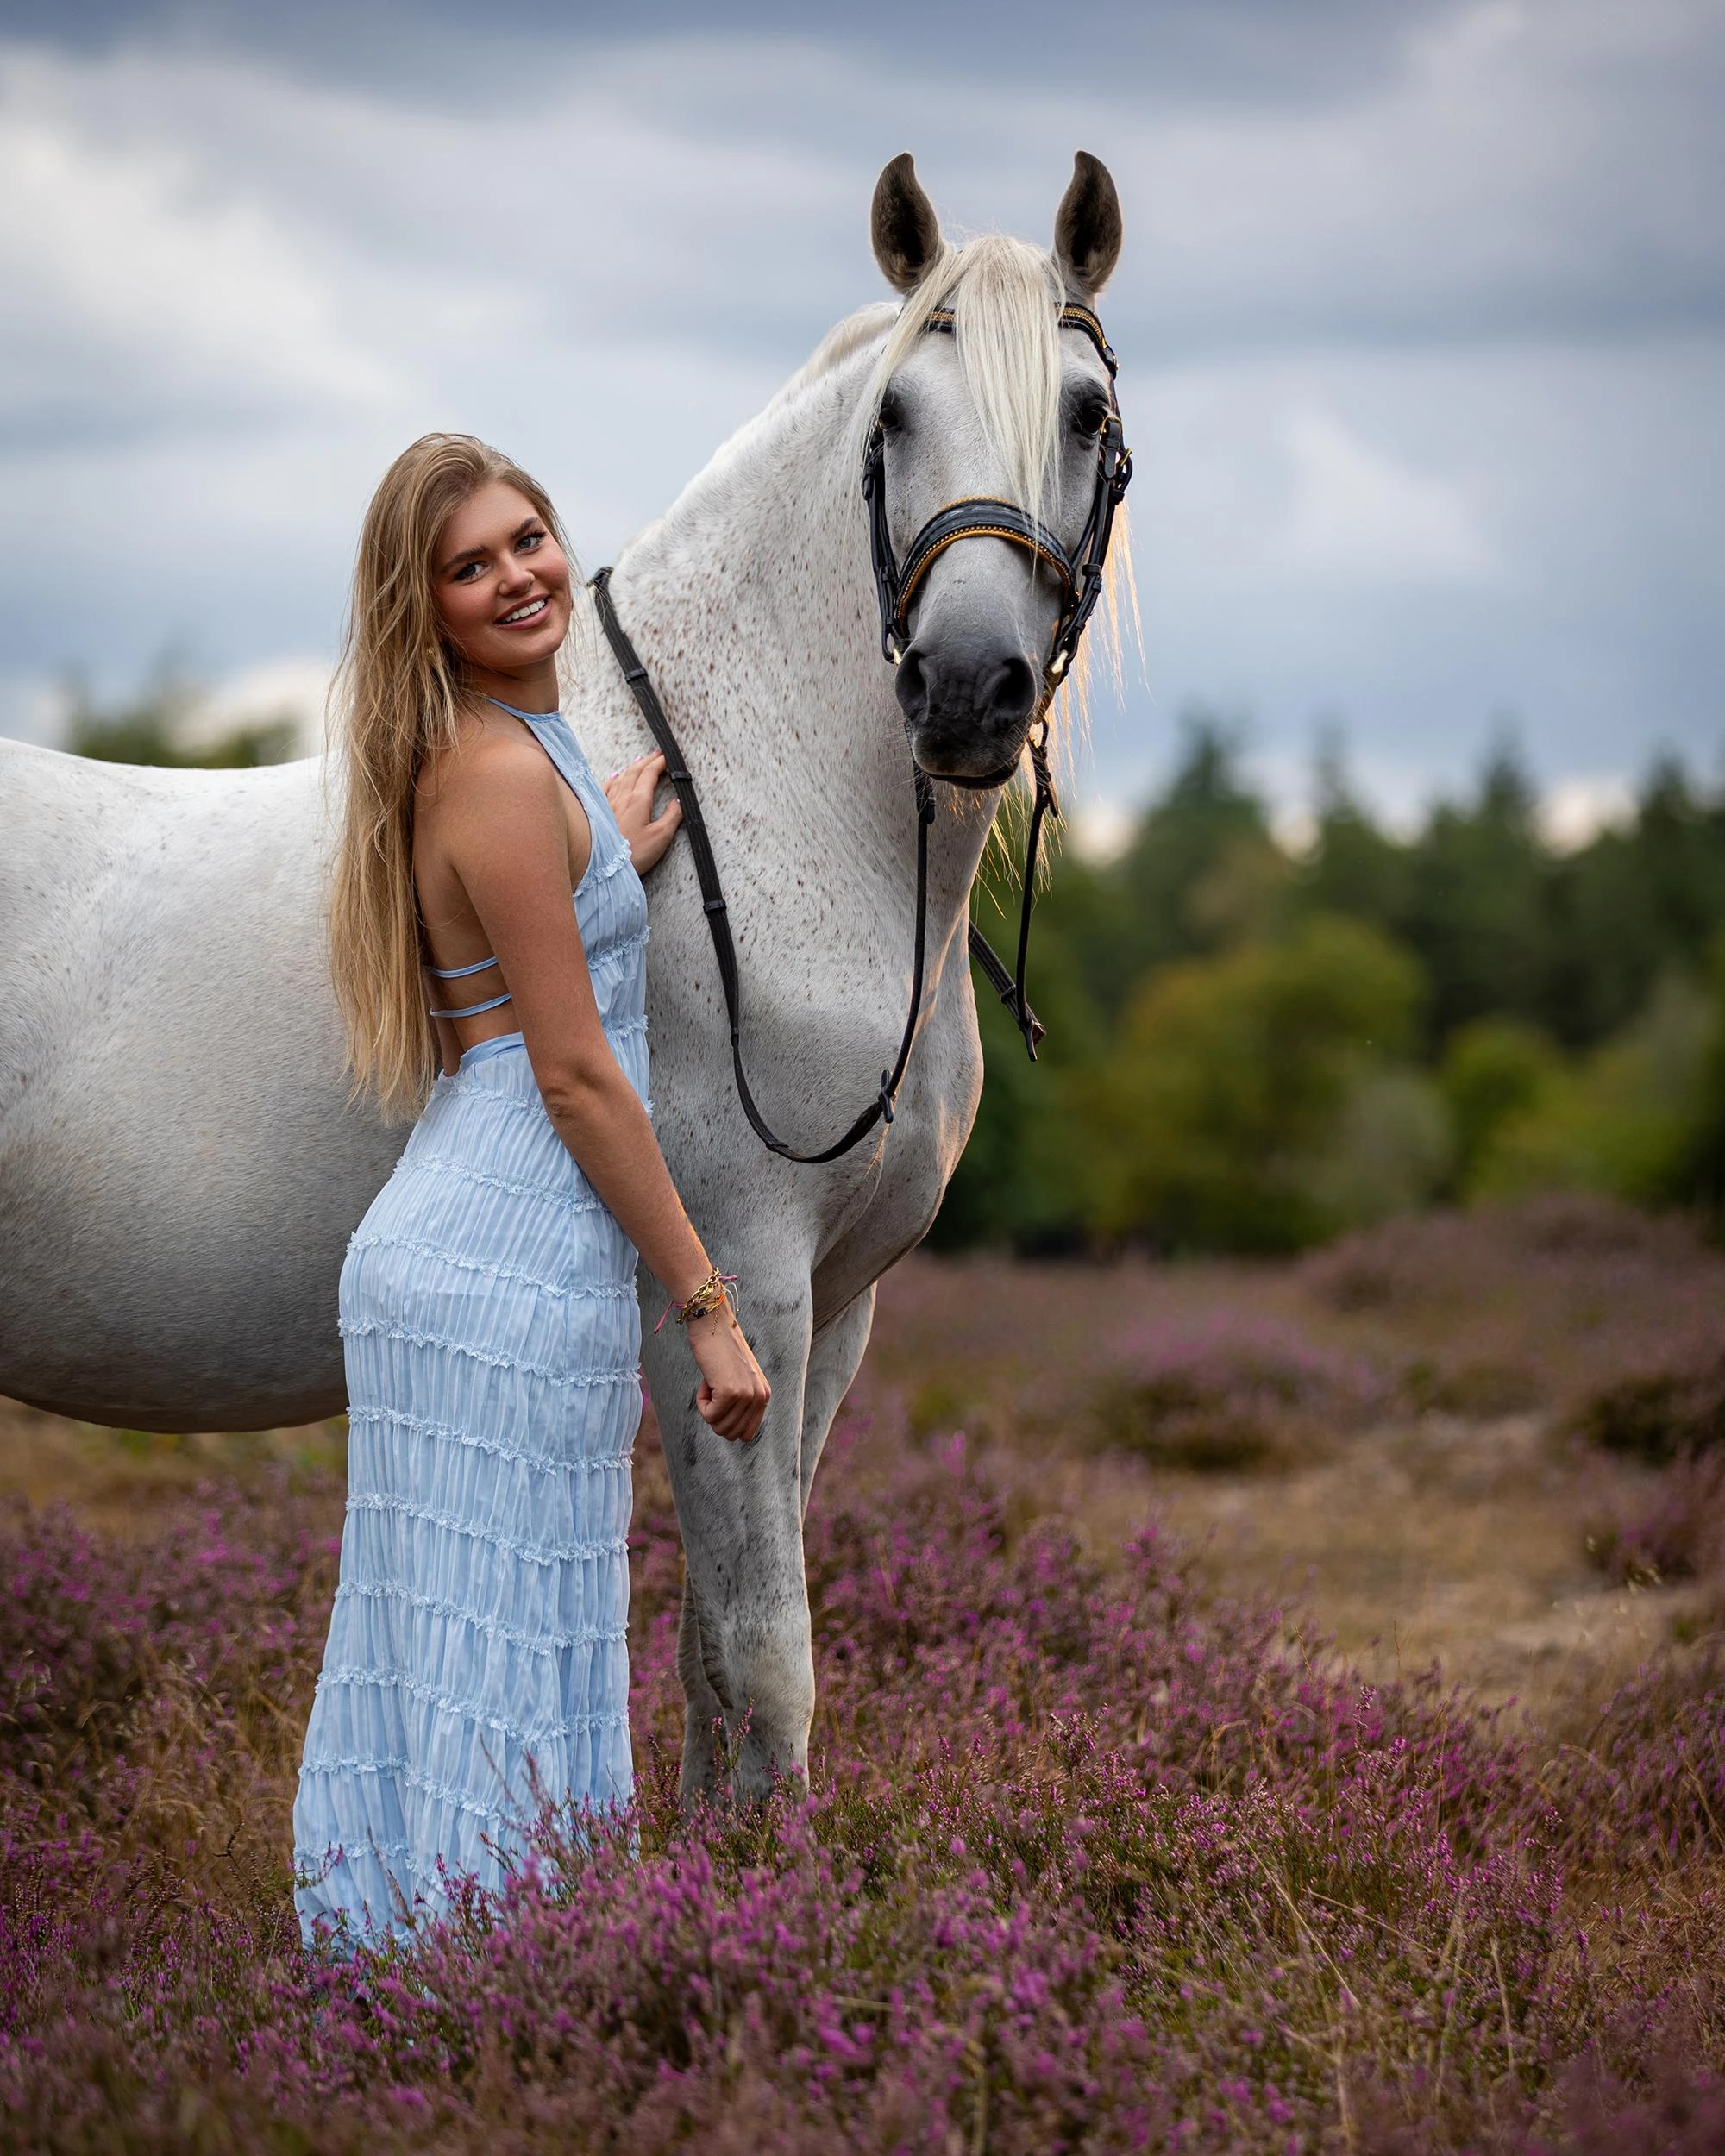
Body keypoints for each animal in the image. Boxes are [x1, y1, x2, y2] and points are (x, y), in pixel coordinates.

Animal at [0, 151, 1127, 1801]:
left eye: (1087, 414)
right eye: (895, 418)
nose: (967, 690)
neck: (764, 806)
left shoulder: (837, 1313)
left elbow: (716, 1672)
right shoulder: (730, 1290)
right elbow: (768, 1660)